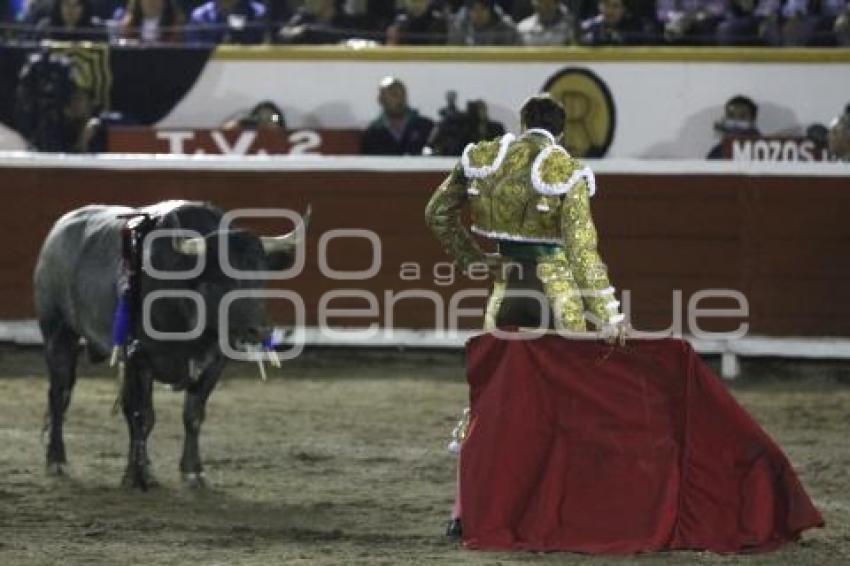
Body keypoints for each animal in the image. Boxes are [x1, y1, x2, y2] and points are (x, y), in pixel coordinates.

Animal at [34, 202, 304, 490]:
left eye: (260, 279)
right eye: (219, 281)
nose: (259, 331)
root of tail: (59, 230)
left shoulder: (214, 362)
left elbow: (193, 415)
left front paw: (192, 471)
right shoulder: (140, 356)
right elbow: (144, 416)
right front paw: (137, 474)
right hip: (58, 334)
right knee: (60, 395)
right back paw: (56, 460)